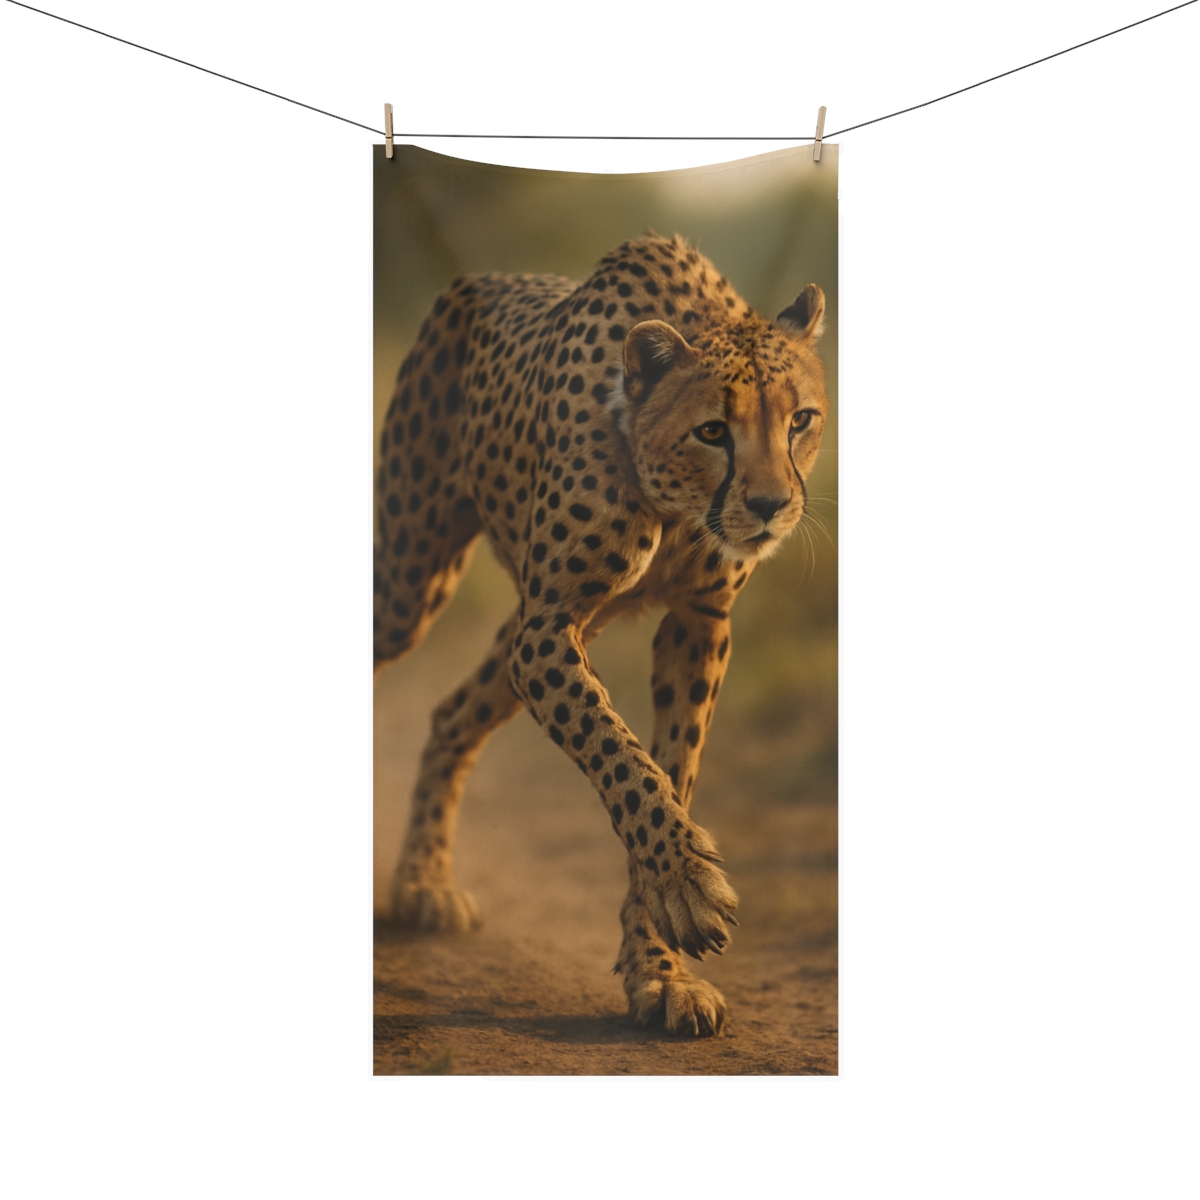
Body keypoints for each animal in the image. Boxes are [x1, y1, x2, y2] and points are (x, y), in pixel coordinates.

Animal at [374, 233, 828, 1037]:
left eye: (799, 420)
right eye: (714, 430)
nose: (772, 506)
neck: (673, 500)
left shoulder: (696, 623)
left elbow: (672, 767)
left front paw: (661, 968)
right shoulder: (551, 625)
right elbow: (622, 756)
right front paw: (687, 884)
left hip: (516, 630)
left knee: (452, 713)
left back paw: (422, 882)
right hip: (411, 584)